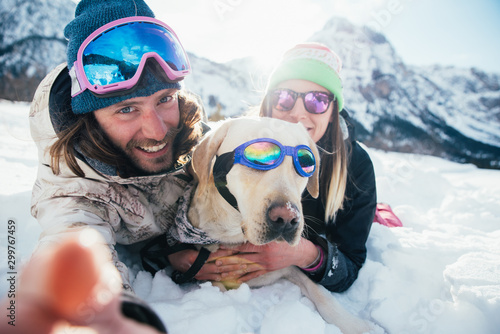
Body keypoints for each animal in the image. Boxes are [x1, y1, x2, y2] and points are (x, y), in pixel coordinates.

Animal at [186, 116, 370, 332]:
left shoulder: (290, 266)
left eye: (304, 164)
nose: (287, 219)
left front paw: (354, 325)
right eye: (257, 160)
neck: (235, 235)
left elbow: (321, 293)